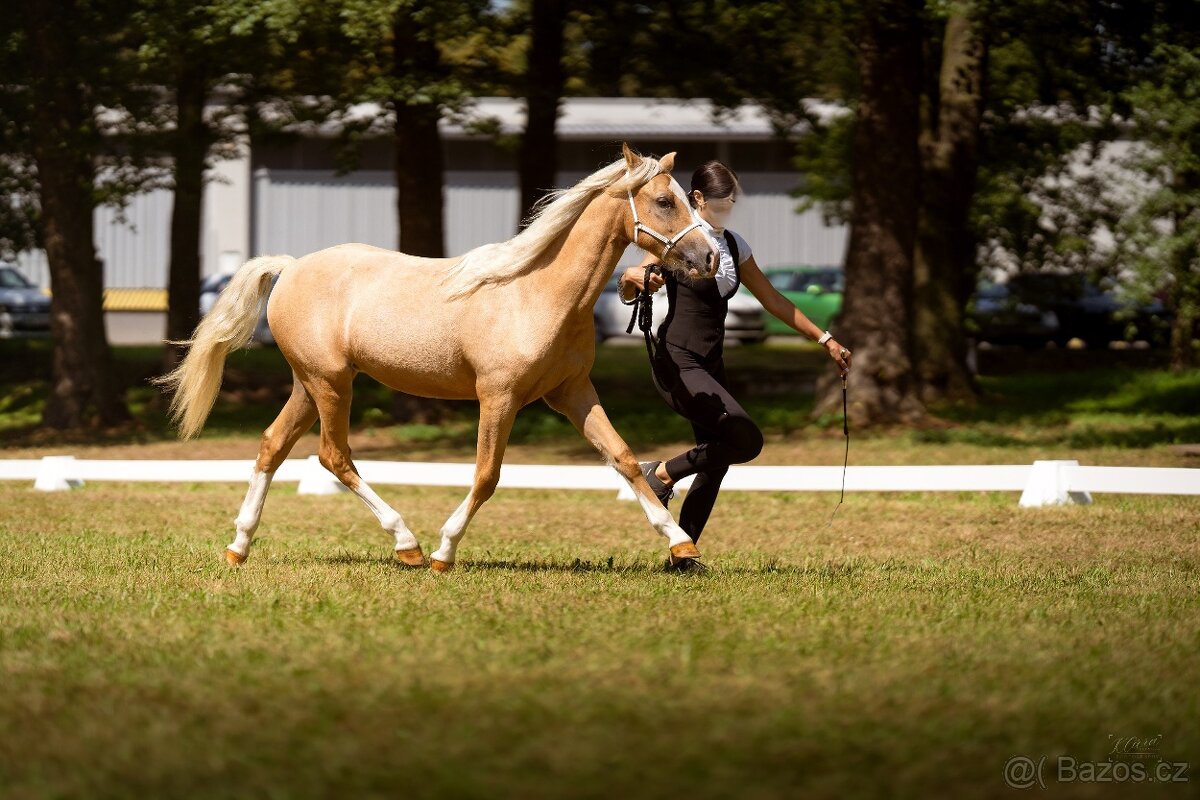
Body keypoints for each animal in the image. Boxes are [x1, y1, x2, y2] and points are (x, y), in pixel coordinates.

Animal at [157, 144, 720, 571]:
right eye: (664, 201)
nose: (709, 258)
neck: (537, 293)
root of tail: (291, 267)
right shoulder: (499, 397)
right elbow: (486, 475)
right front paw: (444, 554)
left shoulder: (573, 393)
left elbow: (623, 458)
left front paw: (681, 545)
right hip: (331, 384)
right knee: (333, 456)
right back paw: (407, 545)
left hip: (309, 385)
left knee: (273, 446)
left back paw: (238, 546)